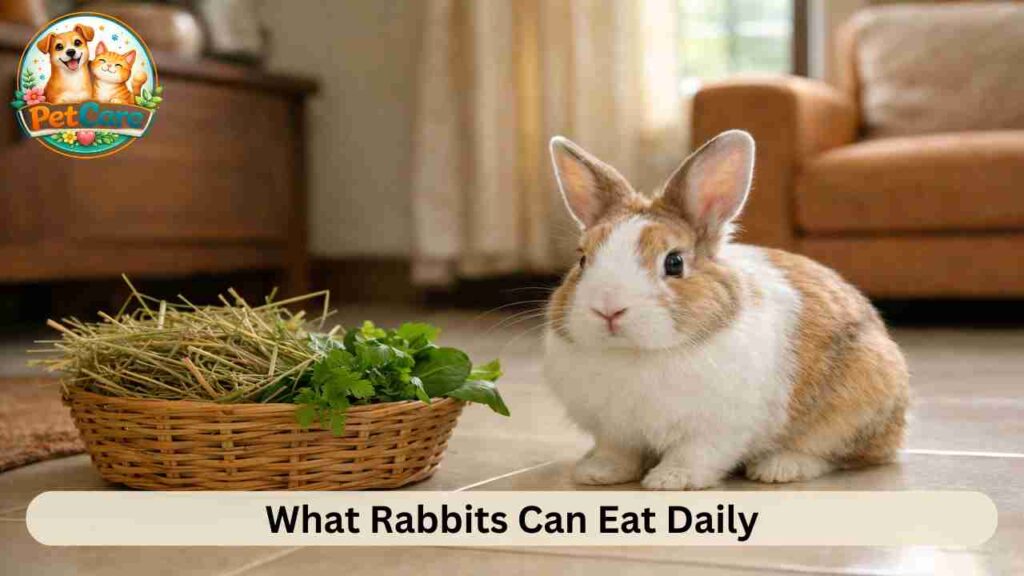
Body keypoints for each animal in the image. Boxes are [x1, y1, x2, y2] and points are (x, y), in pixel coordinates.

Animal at [543, 130, 910, 490]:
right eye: (582, 259)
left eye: (674, 263)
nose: (608, 309)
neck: (635, 354)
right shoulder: (613, 430)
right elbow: (618, 452)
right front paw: (598, 473)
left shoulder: (718, 428)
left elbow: (696, 454)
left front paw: (670, 480)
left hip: (856, 403)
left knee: (833, 453)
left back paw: (779, 468)